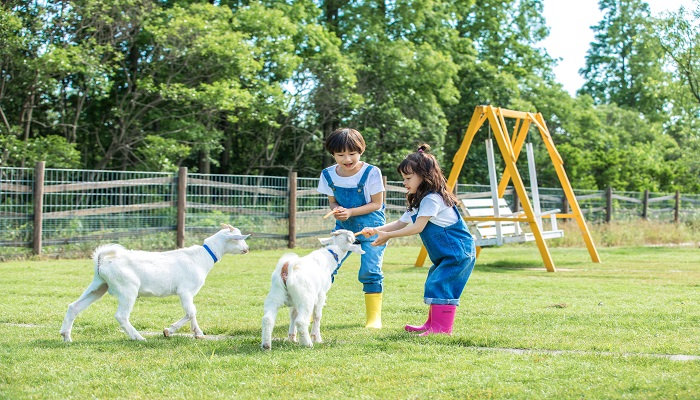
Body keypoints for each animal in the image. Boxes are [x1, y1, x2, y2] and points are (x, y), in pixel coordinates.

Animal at [60, 223, 250, 342]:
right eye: (238, 238)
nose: (247, 249)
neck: (201, 257)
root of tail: (102, 260)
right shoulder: (184, 291)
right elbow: (191, 312)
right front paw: (168, 331)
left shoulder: (189, 294)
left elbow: (193, 313)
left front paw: (199, 333)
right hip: (128, 289)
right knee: (121, 316)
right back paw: (138, 337)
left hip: (99, 285)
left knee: (73, 306)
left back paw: (66, 337)